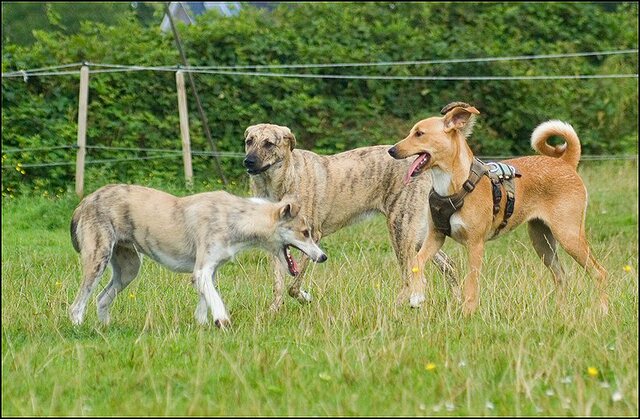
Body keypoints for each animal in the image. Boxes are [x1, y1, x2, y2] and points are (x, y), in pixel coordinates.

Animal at [71, 185, 324, 330]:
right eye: (305, 232)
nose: (323, 257)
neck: (235, 217)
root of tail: (85, 201)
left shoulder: (209, 271)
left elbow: (205, 299)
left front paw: (203, 324)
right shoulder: (201, 271)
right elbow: (216, 300)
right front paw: (222, 321)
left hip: (128, 269)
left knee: (101, 299)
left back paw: (105, 328)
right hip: (98, 259)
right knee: (76, 306)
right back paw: (78, 328)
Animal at [242, 123, 458, 310]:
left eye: (269, 143)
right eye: (249, 141)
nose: (248, 161)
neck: (278, 184)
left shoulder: (311, 236)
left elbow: (293, 285)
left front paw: (305, 297)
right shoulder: (275, 242)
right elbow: (279, 284)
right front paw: (274, 311)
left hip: (400, 229)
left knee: (411, 277)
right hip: (418, 235)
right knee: (448, 265)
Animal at [388, 104, 608, 316]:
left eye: (419, 133)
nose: (391, 151)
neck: (456, 185)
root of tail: (565, 163)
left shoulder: (475, 245)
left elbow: (471, 284)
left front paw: (467, 314)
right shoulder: (436, 236)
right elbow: (417, 261)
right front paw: (416, 296)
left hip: (569, 236)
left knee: (599, 273)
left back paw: (602, 310)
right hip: (542, 241)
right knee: (561, 276)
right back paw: (560, 312)